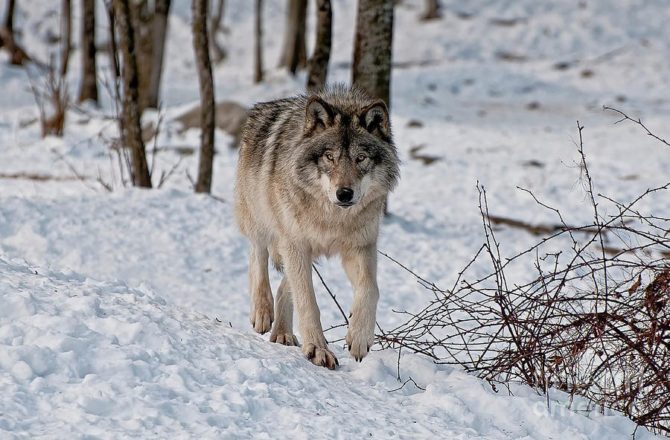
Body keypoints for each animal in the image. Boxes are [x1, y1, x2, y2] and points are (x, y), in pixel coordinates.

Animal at [236, 85, 402, 368]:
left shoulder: (360, 248)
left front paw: (359, 338)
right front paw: (317, 349)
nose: (344, 193)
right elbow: (308, 301)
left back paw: (282, 332)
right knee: (257, 257)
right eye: (329, 157)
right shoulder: (296, 244)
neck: (333, 218)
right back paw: (262, 312)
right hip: (261, 221)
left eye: (360, 158)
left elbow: (370, 289)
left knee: (285, 285)